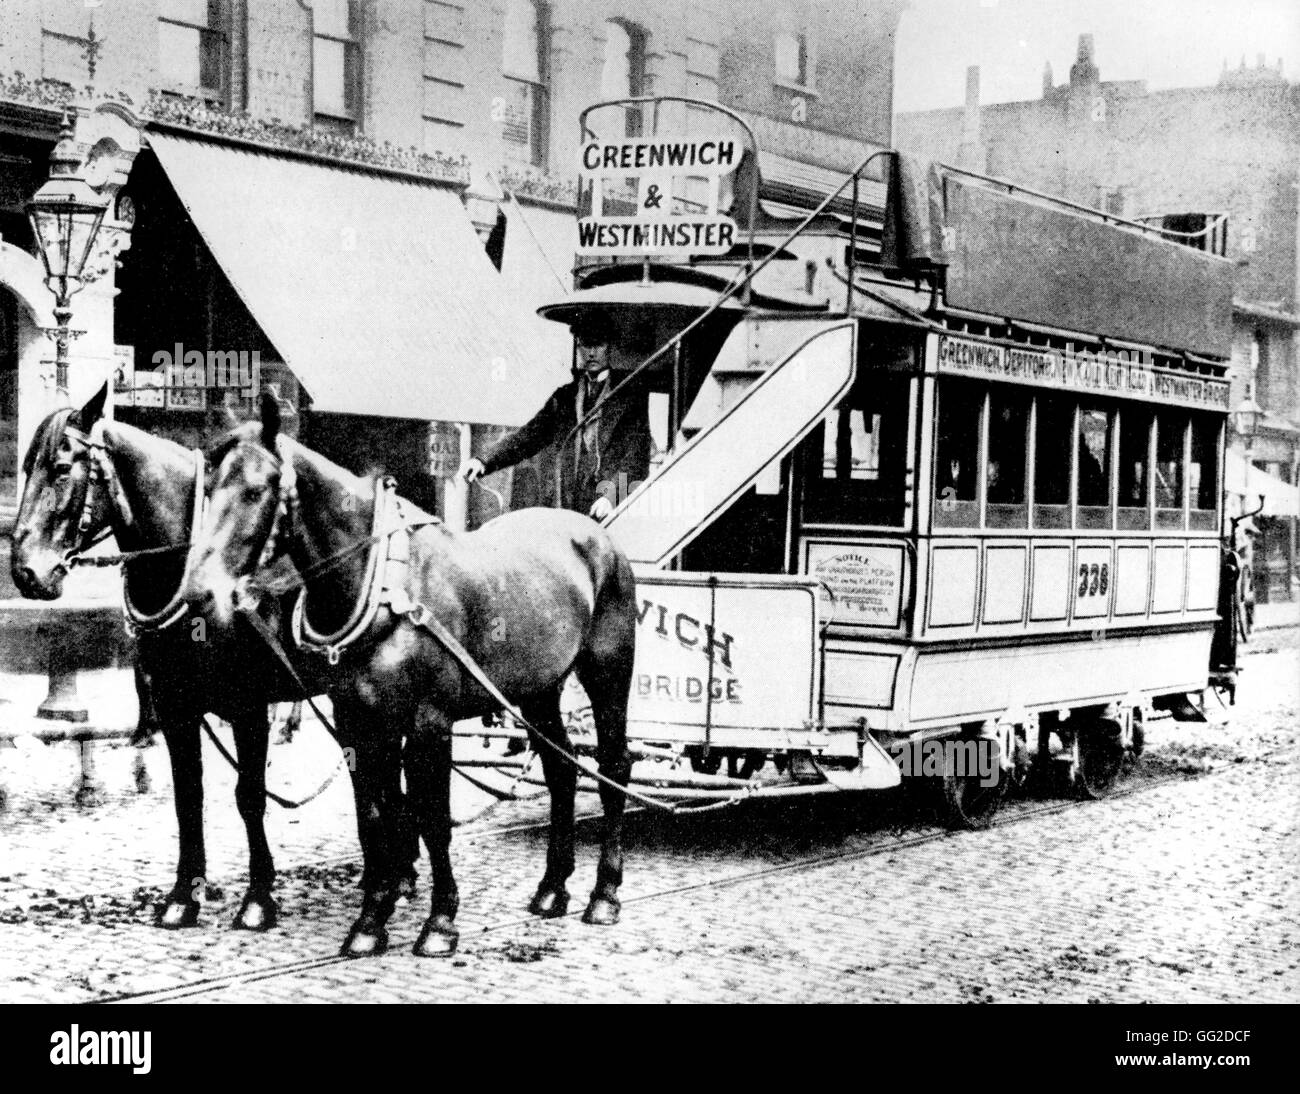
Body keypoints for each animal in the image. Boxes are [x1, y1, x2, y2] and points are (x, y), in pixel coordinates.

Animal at [8, 384, 416, 930]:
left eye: (60, 467)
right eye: (25, 466)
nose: (26, 572)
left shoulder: (248, 706)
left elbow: (249, 797)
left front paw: (259, 896)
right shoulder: (175, 705)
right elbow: (189, 797)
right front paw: (184, 895)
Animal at [184, 394, 639, 956]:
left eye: (254, 490)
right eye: (207, 490)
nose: (198, 593)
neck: (383, 586)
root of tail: (598, 536)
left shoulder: (429, 724)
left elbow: (431, 819)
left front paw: (440, 921)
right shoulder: (358, 722)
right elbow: (377, 816)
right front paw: (371, 921)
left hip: (608, 674)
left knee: (614, 768)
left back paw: (605, 893)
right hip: (537, 691)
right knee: (562, 768)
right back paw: (553, 889)